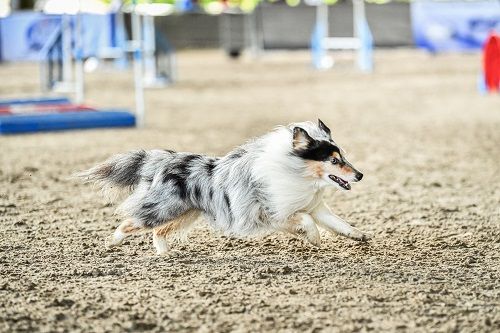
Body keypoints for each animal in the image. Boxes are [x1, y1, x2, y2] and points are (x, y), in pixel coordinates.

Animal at [77, 119, 368, 254]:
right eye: (334, 160)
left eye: (344, 157)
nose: (360, 175)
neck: (298, 173)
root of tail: (164, 160)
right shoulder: (273, 213)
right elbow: (306, 221)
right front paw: (314, 238)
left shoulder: (315, 206)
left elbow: (339, 224)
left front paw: (360, 235)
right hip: (163, 209)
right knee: (130, 222)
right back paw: (111, 243)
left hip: (185, 213)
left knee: (158, 232)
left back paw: (165, 254)